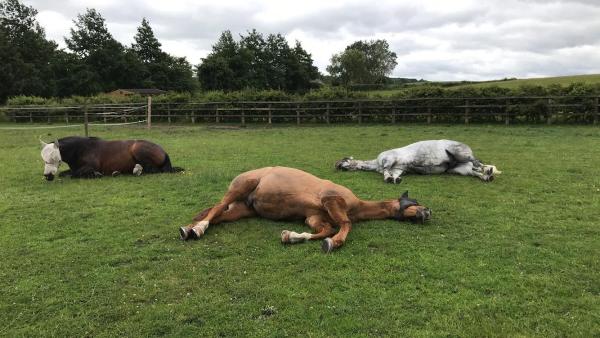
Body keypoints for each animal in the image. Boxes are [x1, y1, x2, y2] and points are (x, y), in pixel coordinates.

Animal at [179, 168, 432, 252]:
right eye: (415, 202)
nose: (428, 212)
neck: (356, 205)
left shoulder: (313, 217)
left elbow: (324, 229)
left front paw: (291, 237)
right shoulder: (331, 200)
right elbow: (344, 225)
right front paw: (334, 243)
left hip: (240, 210)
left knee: (218, 215)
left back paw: (190, 229)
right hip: (241, 187)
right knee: (217, 207)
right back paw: (197, 229)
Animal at [336, 139, 500, 184]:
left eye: (343, 161)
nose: (338, 166)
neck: (376, 163)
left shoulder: (389, 159)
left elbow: (386, 170)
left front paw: (388, 178)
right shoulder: (399, 169)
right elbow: (394, 174)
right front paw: (395, 179)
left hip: (461, 154)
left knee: (477, 162)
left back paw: (488, 170)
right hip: (460, 169)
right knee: (474, 171)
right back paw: (487, 176)